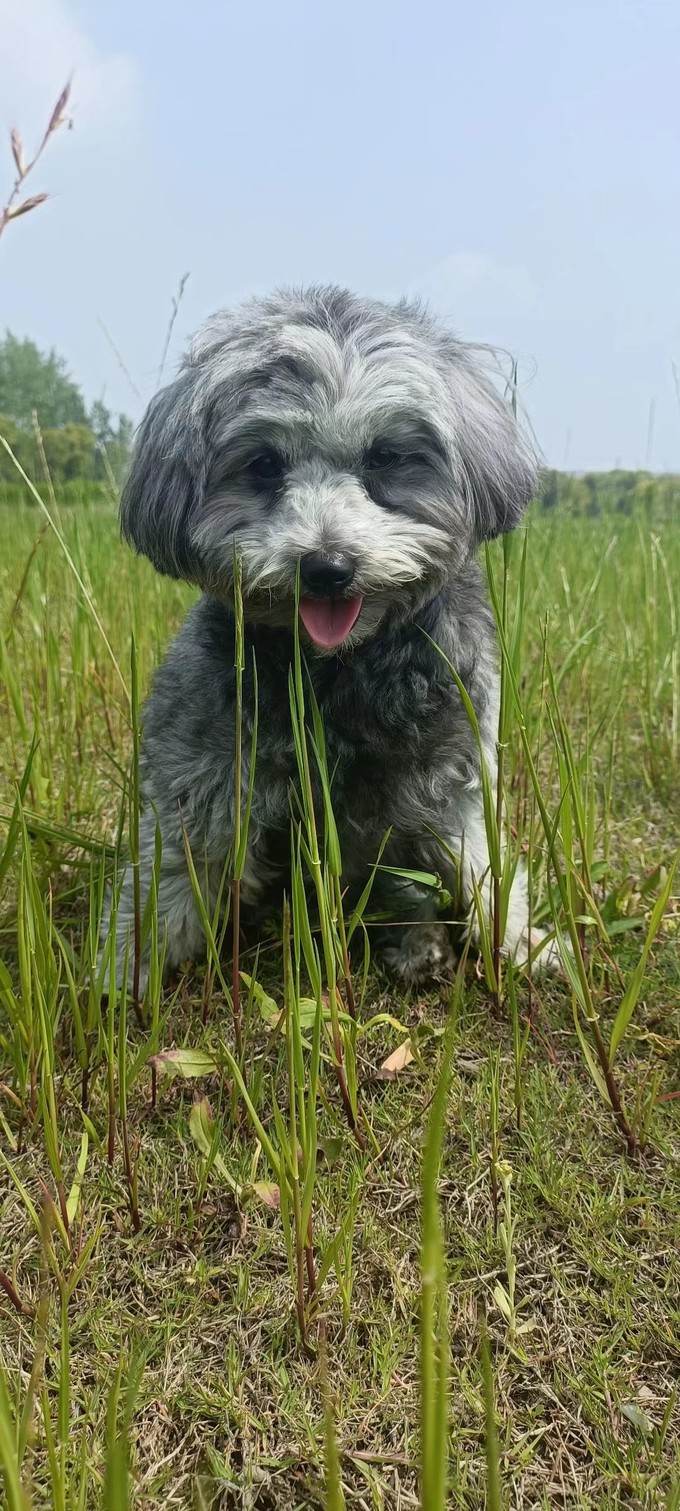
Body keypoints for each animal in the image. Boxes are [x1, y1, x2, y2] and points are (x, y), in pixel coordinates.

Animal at [108, 284, 553, 991]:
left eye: (385, 458)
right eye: (264, 464)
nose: (327, 567)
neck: (339, 669)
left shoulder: (457, 770)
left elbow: (483, 875)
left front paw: (519, 947)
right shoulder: (209, 772)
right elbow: (172, 877)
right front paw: (115, 984)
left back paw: (421, 946)